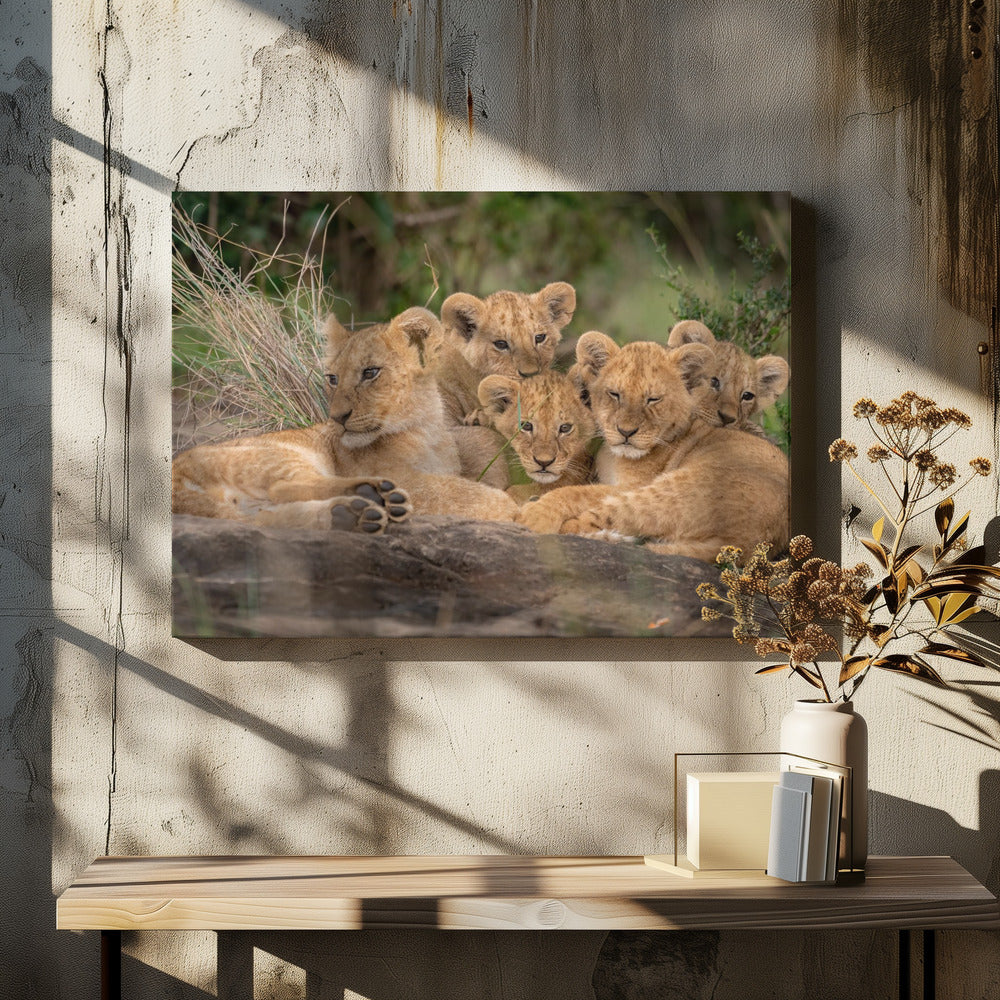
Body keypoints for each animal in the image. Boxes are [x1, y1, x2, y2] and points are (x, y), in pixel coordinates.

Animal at [172, 306, 518, 531]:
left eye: (370, 373)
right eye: (333, 379)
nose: (337, 417)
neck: (427, 430)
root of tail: (175, 475)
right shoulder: (406, 478)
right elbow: (465, 493)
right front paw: (511, 508)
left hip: (254, 505)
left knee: (267, 519)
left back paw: (352, 515)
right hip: (277, 457)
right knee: (285, 487)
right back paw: (372, 494)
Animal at [516, 332, 789, 563]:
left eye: (653, 399)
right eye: (615, 394)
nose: (626, 432)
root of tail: (741, 545)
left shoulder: (632, 484)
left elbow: (574, 492)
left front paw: (538, 510)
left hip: (667, 491)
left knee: (588, 522)